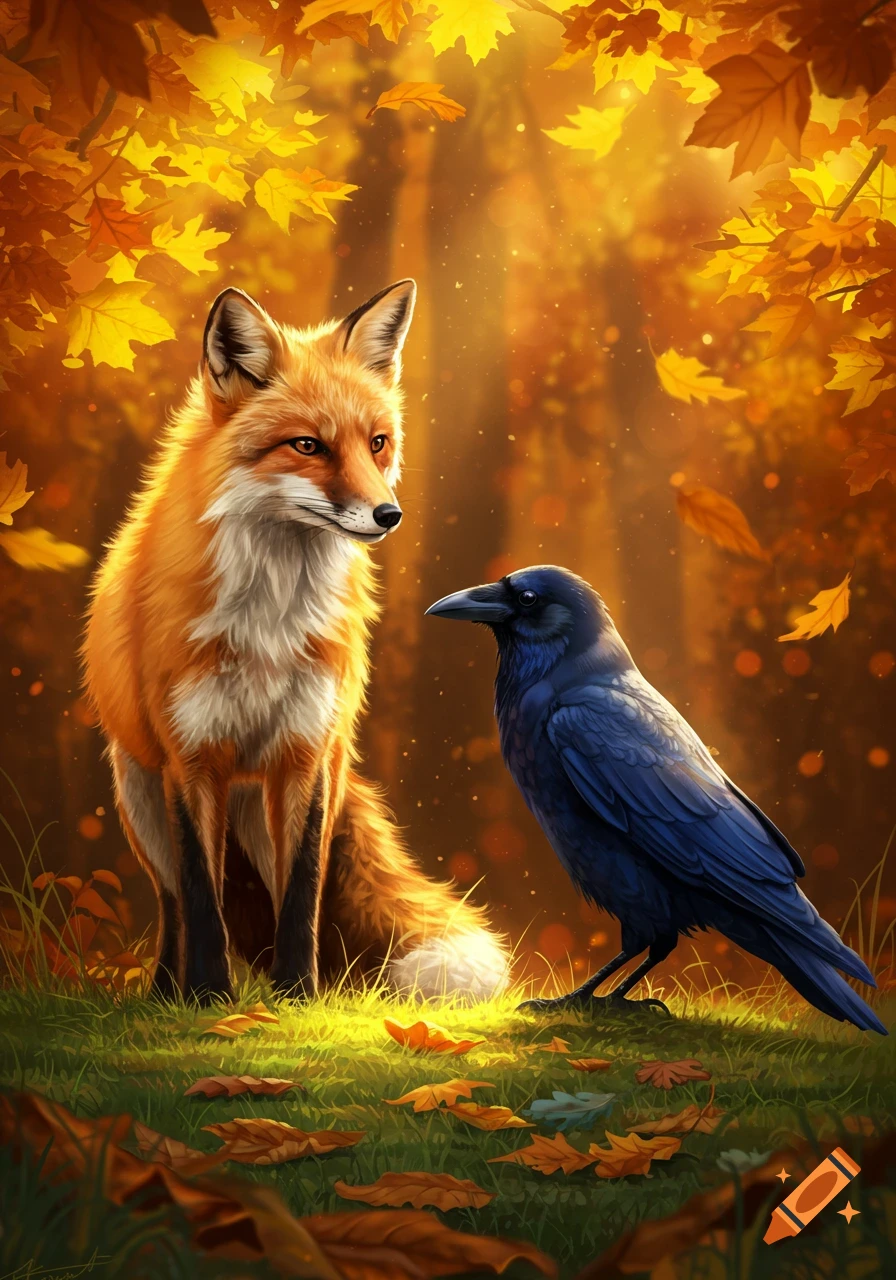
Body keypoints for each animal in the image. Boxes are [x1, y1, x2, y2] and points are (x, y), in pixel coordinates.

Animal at [83, 279, 509, 1005]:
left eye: (377, 443)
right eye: (308, 446)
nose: (389, 515)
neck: (271, 621)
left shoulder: (309, 751)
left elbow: (302, 892)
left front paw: (298, 996)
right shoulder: (190, 757)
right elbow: (202, 897)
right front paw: (210, 998)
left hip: (281, 796)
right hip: (141, 799)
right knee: (173, 903)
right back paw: (167, 992)